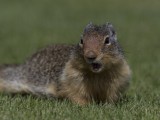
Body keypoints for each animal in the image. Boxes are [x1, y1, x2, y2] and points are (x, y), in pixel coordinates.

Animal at [0, 22, 131, 105]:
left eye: (107, 40)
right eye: (81, 40)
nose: (90, 55)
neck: (97, 74)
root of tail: (24, 64)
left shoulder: (118, 78)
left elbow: (110, 97)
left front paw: (109, 106)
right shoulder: (72, 79)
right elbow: (77, 95)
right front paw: (85, 106)